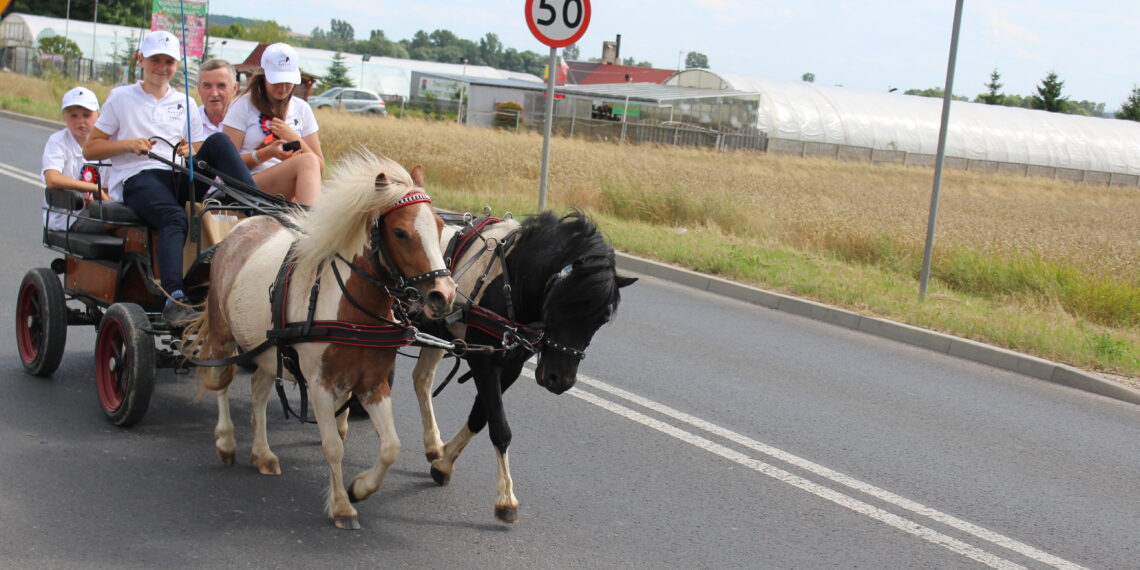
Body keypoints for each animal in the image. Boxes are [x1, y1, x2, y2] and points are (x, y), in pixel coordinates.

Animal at [186, 152, 453, 528]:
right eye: (400, 232)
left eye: (440, 227)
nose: (444, 294)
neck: (350, 309)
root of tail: (241, 226)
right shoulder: (319, 384)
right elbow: (333, 447)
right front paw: (341, 505)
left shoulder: (373, 384)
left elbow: (391, 447)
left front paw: (360, 488)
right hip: (224, 337)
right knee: (221, 382)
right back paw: (225, 442)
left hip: (267, 351)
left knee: (258, 393)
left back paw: (262, 453)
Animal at [410, 209, 638, 522]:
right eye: (562, 305)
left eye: (602, 318)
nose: (560, 380)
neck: (509, 280)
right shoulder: (482, 360)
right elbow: (500, 427)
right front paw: (506, 499)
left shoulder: (511, 367)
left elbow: (481, 417)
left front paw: (444, 463)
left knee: (421, 379)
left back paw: (433, 444)